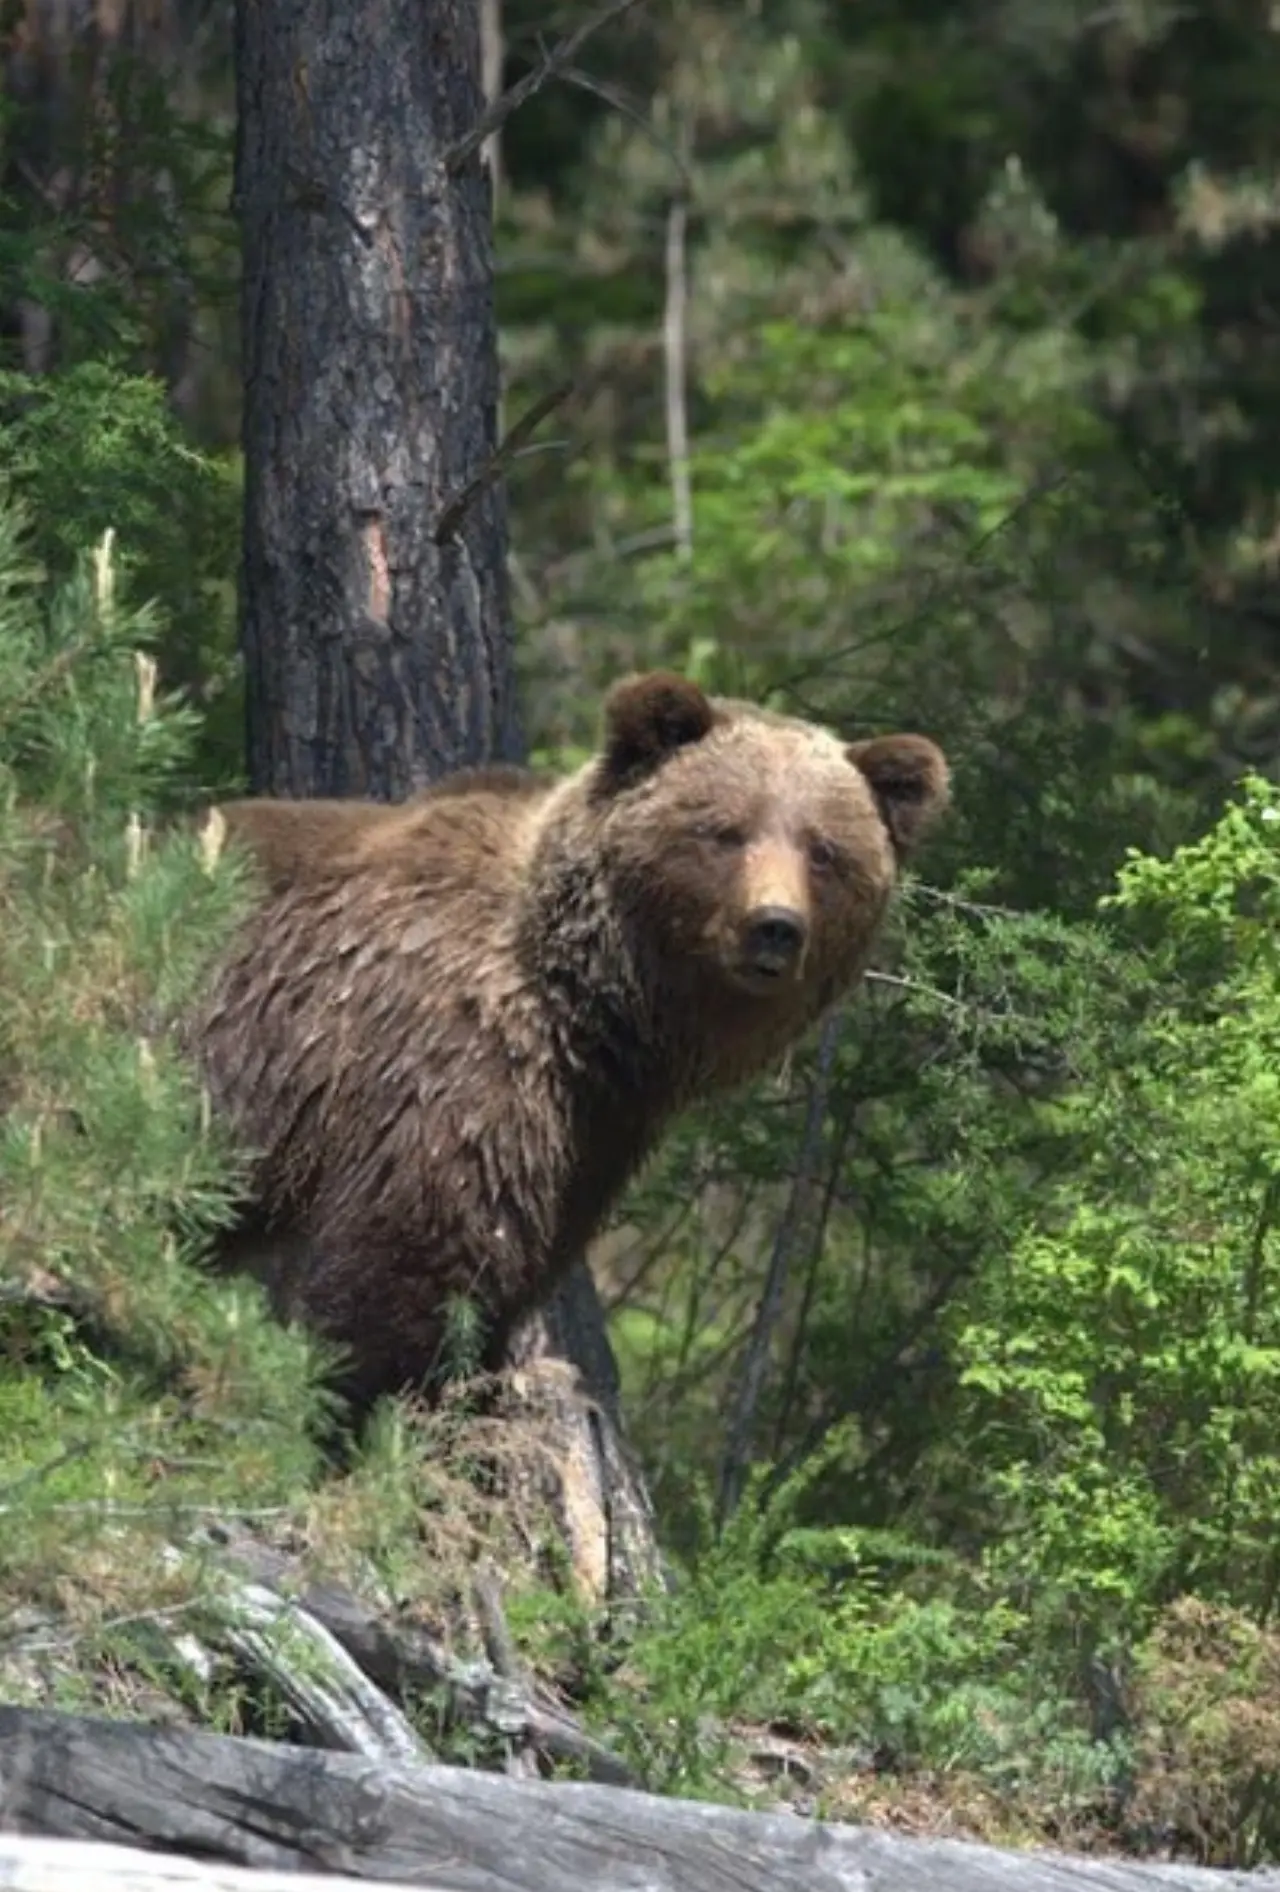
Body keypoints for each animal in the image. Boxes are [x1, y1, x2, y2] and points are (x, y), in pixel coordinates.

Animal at [193, 672, 949, 1422]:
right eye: (725, 830)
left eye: (824, 851)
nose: (775, 927)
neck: (591, 1009)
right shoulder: (444, 1059)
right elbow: (410, 1252)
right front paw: (377, 1391)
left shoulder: (592, 1130)